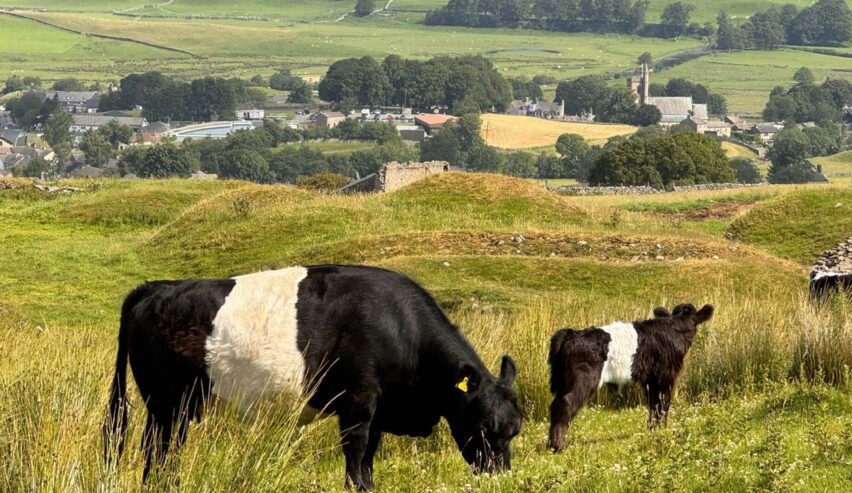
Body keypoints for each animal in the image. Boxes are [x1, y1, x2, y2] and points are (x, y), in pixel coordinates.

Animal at [103, 265, 522, 490]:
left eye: (514, 430)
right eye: (484, 427)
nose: (500, 476)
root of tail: (156, 288)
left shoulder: (377, 412)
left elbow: (369, 457)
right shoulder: (358, 404)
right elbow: (355, 454)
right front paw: (355, 487)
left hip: (175, 407)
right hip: (165, 404)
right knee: (157, 449)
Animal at [547, 303, 713, 452]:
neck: (677, 325)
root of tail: (571, 333)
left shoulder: (651, 380)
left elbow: (654, 404)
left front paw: (653, 430)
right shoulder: (666, 378)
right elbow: (663, 404)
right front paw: (663, 430)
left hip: (563, 382)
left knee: (555, 405)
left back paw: (550, 444)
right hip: (584, 380)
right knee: (566, 403)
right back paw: (557, 446)